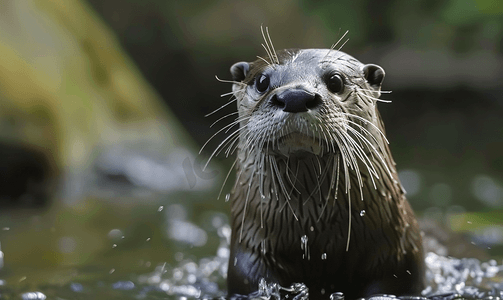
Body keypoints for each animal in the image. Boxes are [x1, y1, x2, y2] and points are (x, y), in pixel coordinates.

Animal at [217, 34, 426, 298]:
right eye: (262, 81)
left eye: (335, 80)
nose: (295, 96)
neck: (315, 229)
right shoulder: (249, 256)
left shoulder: (396, 258)